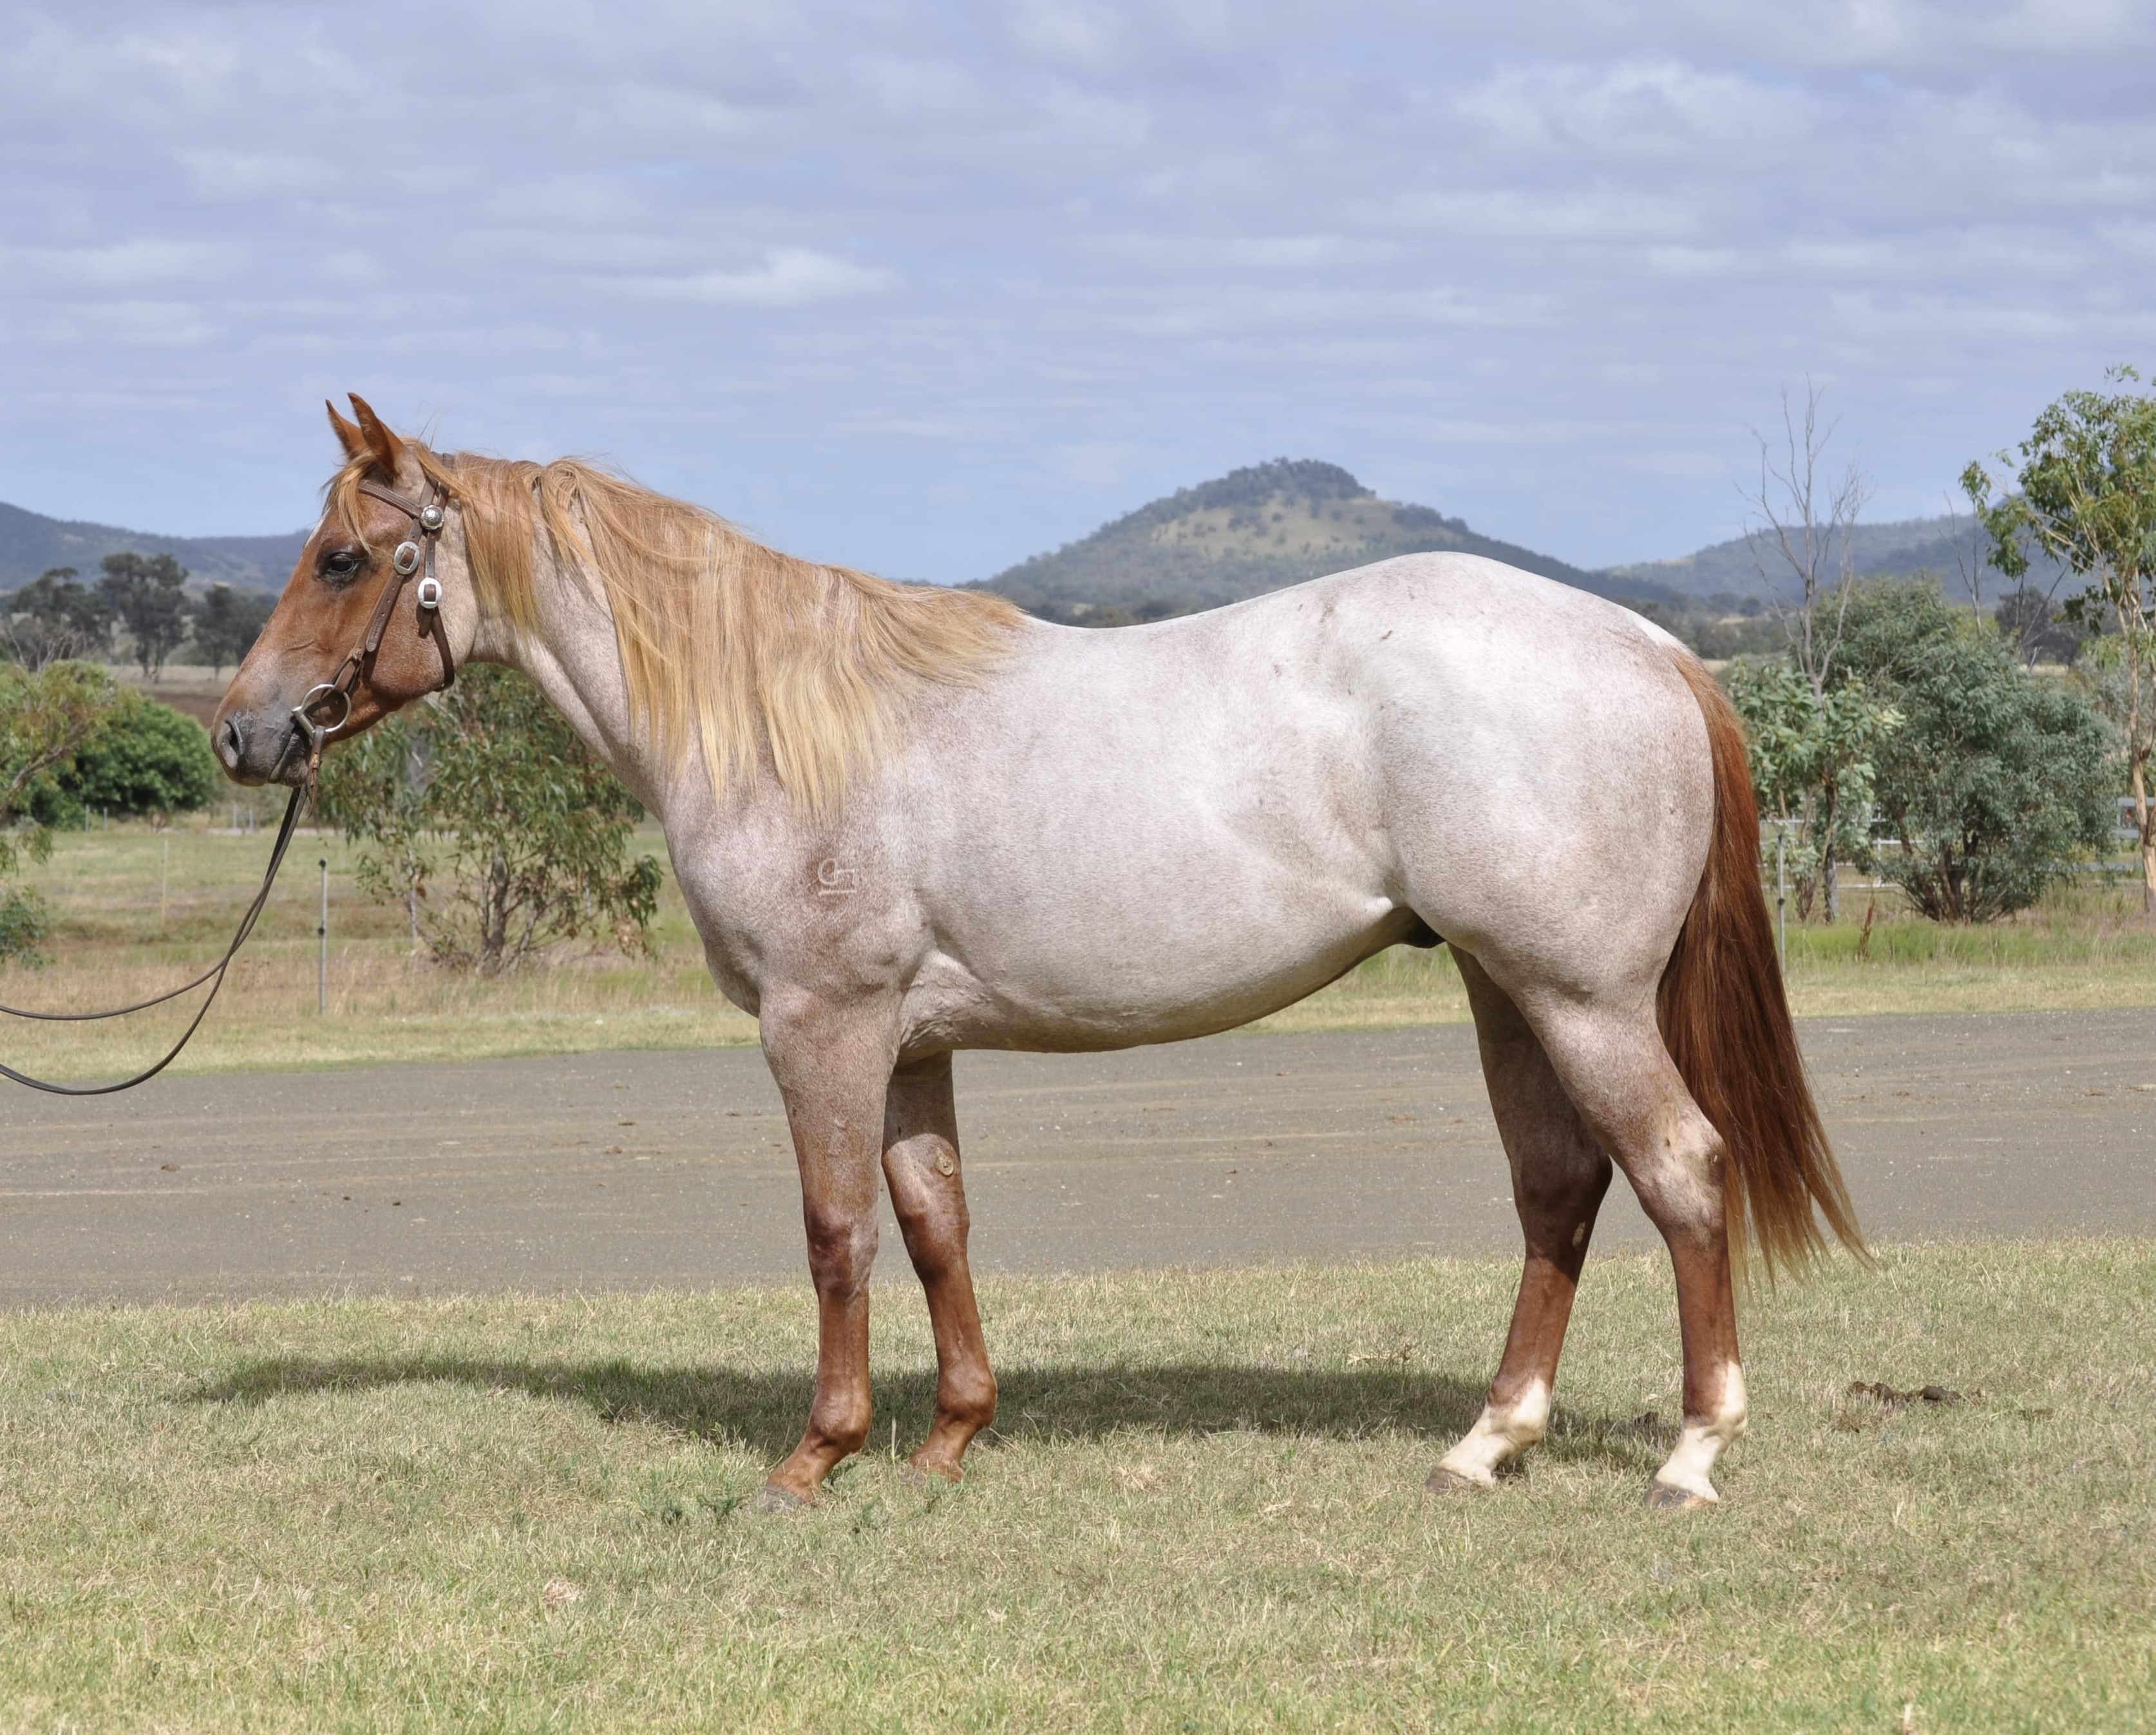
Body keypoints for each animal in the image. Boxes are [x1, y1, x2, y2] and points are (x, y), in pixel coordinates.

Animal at [214, 396, 1862, 1510]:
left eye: (345, 556)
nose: (244, 732)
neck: (776, 721)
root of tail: (1654, 646)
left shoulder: (822, 1029)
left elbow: (836, 1234)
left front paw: (814, 1455)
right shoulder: (909, 1044)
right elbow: (936, 1222)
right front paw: (950, 1436)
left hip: (1583, 999)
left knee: (1680, 1172)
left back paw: (1691, 1451)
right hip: (1505, 988)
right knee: (1559, 1189)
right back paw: (1486, 1440)